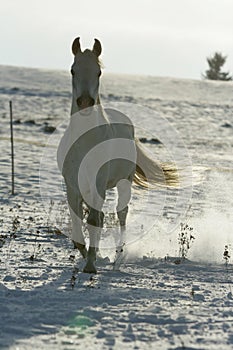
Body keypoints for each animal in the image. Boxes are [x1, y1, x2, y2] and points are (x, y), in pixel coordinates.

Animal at [57, 38, 179, 274]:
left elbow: (94, 221)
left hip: (123, 183)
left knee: (121, 213)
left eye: (98, 72)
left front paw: (91, 264)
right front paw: (90, 256)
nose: (85, 102)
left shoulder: (98, 183)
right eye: (73, 70)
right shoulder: (73, 186)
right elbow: (78, 227)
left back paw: (118, 255)